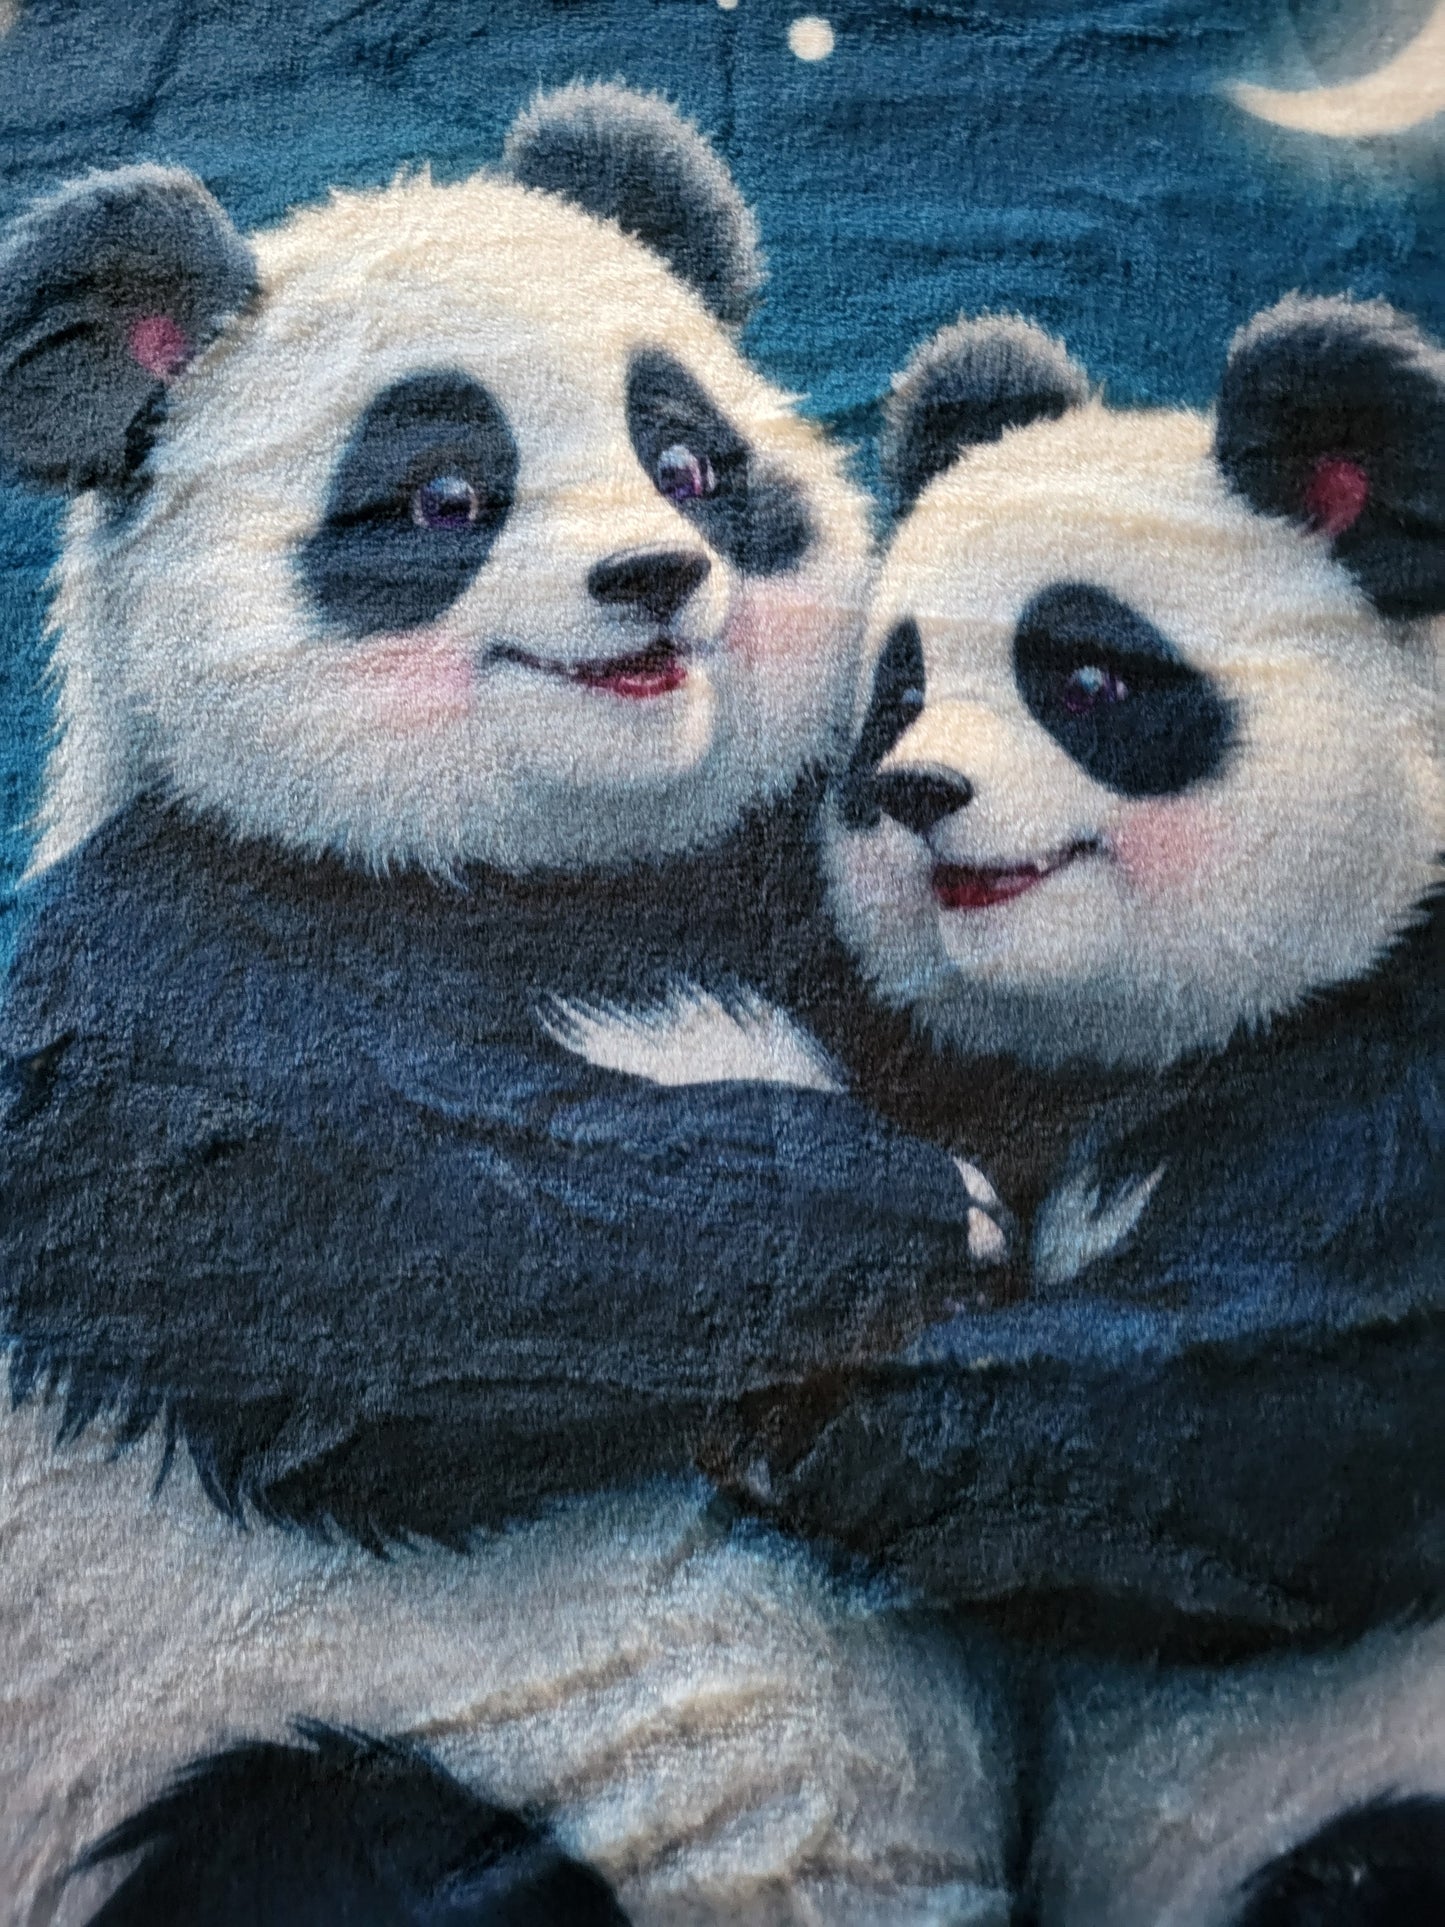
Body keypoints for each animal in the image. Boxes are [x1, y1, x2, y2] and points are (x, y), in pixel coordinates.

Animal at [0, 86, 1011, 1923]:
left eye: (687, 461)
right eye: (446, 496)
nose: (651, 576)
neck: (537, 876)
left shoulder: (791, 874)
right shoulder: (177, 947)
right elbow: (338, 1238)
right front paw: (907, 1207)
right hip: (273, 1755)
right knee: (341, 1836)